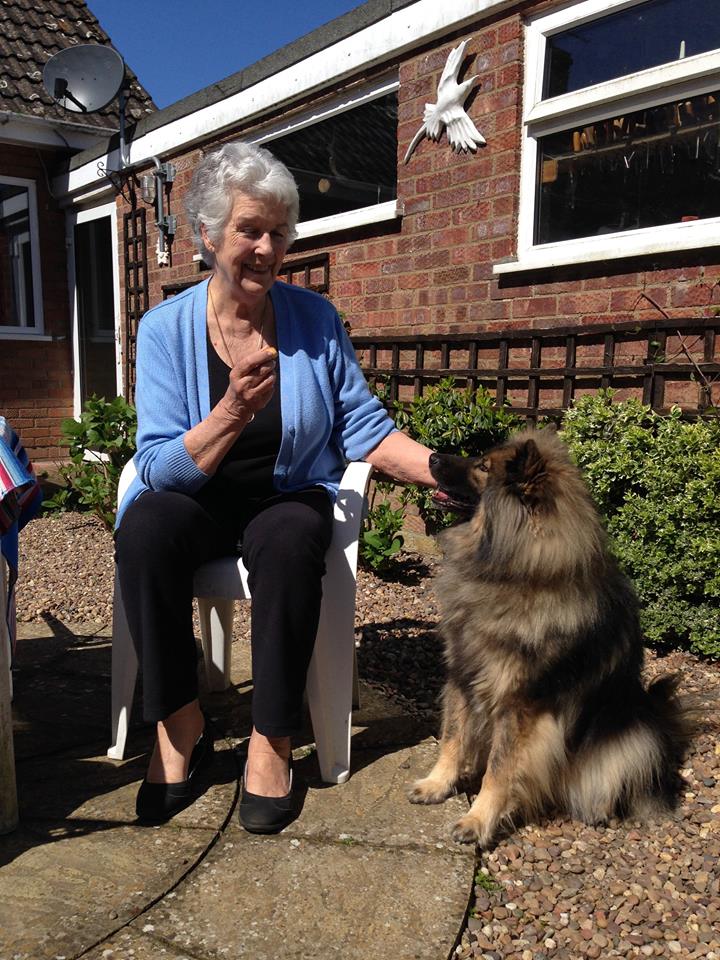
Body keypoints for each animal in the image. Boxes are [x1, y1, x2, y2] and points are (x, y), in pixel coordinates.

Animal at [408, 432, 696, 844]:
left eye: (483, 466)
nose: (431, 457)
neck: (511, 574)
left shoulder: (519, 704)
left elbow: (499, 769)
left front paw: (477, 821)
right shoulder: (464, 675)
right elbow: (453, 736)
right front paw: (437, 784)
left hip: (632, 734)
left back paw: (597, 810)